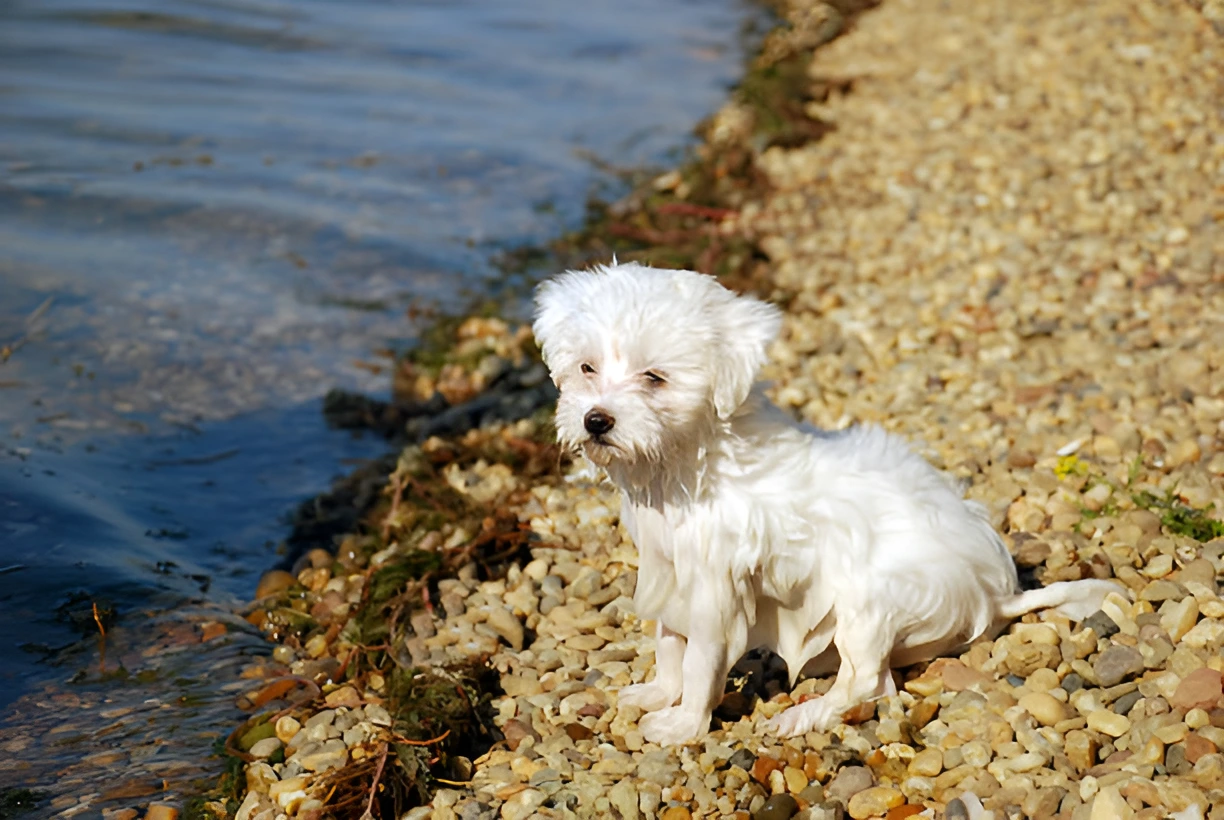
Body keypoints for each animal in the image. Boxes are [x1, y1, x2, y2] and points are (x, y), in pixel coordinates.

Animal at [533, 263, 1121, 744]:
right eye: (587, 369)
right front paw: (658, 693)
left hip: (872, 598)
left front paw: (683, 725)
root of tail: (996, 596)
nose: (596, 420)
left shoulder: (715, 591)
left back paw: (805, 714)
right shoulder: (669, 571)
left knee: (870, 684)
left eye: (654, 378)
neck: (689, 462)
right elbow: (668, 644)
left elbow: (700, 661)